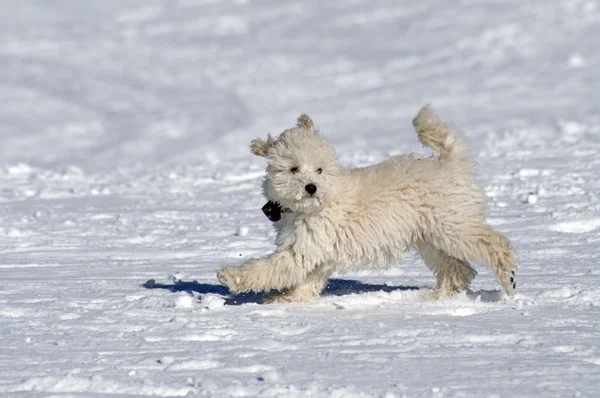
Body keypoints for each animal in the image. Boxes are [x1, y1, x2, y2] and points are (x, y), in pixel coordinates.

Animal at [218, 105, 516, 302]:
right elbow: (307, 281)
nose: (311, 187)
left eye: (319, 170)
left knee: (495, 244)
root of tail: (451, 162)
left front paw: (231, 276)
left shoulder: (302, 250)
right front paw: (288, 299)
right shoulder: (317, 253)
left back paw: (508, 276)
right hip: (430, 238)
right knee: (458, 268)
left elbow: (271, 268)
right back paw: (436, 296)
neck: (319, 203)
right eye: (294, 169)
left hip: (453, 227)